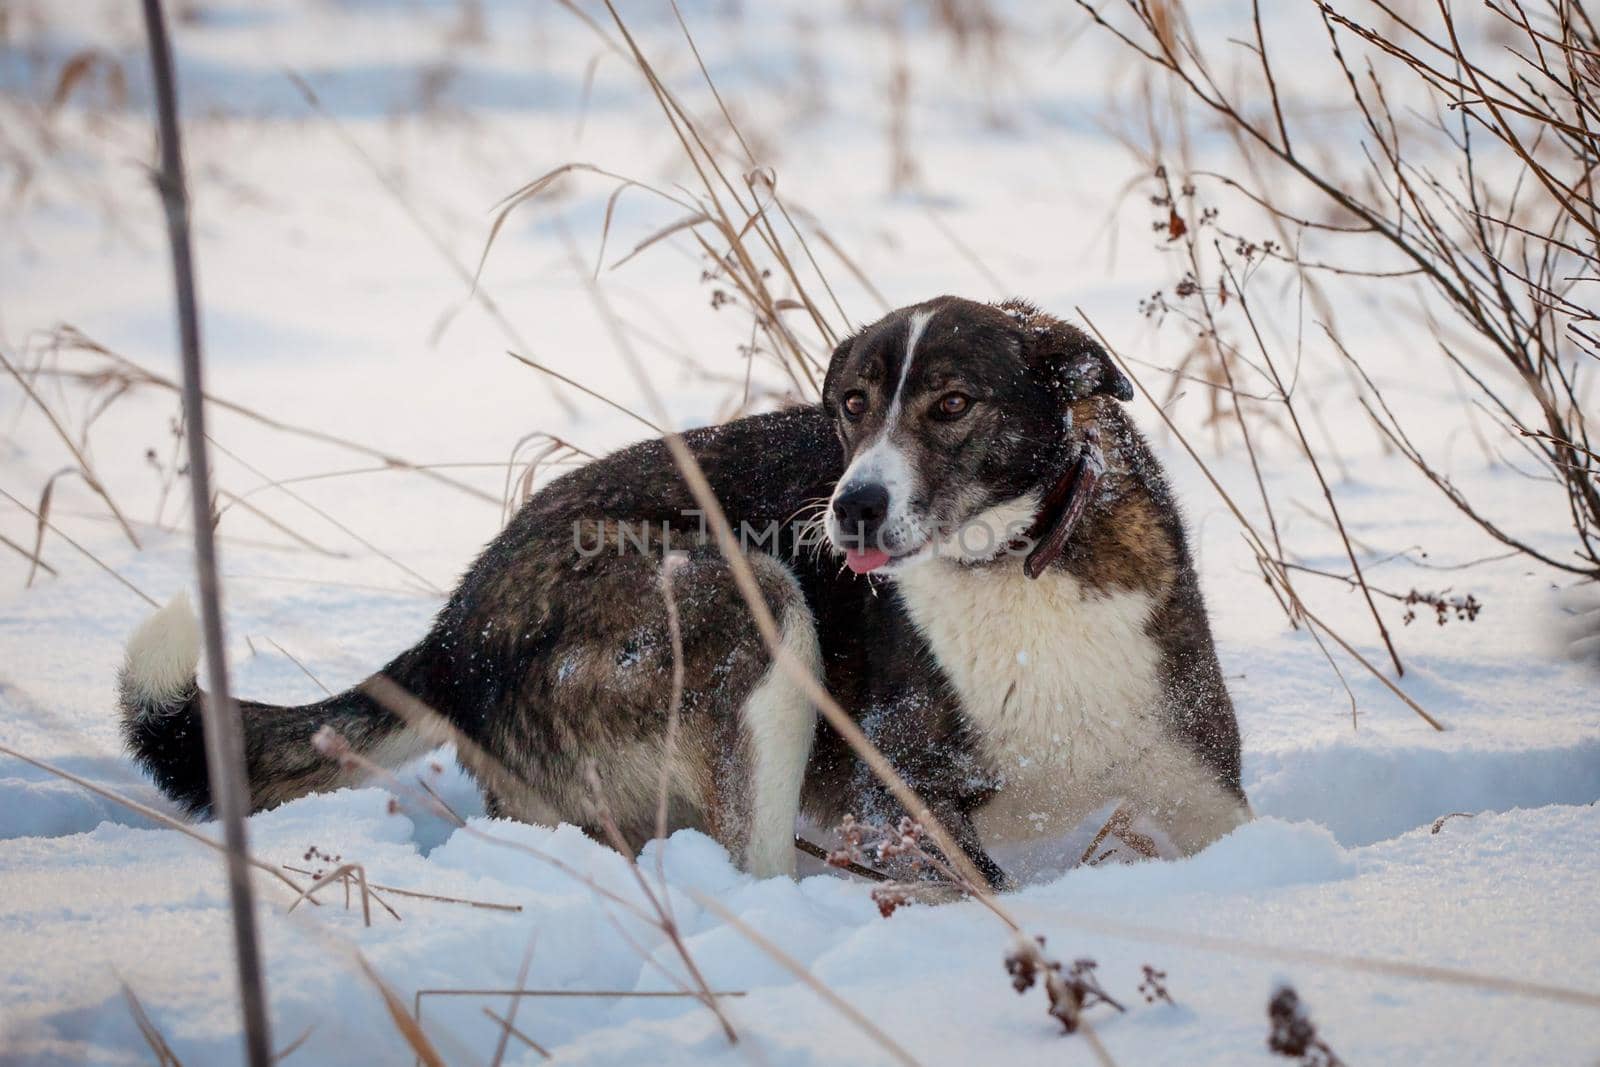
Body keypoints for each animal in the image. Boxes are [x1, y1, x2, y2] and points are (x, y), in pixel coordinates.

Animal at [121, 294, 1248, 883]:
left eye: (953, 403)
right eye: (850, 404)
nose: (850, 509)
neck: (1013, 570)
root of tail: (449, 632)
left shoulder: (1200, 787)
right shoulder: (902, 787)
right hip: (742, 598)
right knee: (755, 862)